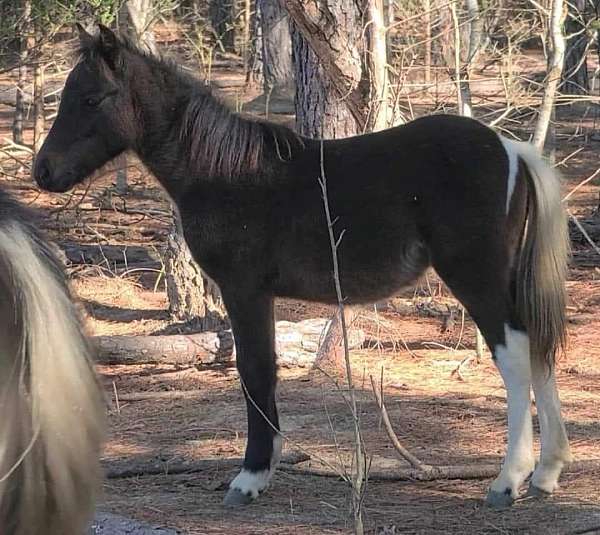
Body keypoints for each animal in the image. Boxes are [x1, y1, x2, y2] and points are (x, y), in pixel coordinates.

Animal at [34, 26, 572, 510]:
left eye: (91, 98)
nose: (43, 171)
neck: (224, 172)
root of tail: (510, 148)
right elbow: (264, 369)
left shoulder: (244, 290)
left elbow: (254, 370)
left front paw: (250, 478)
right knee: (539, 348)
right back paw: (546, 474)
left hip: (476, 277)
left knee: (514, 355)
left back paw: (509, 481)